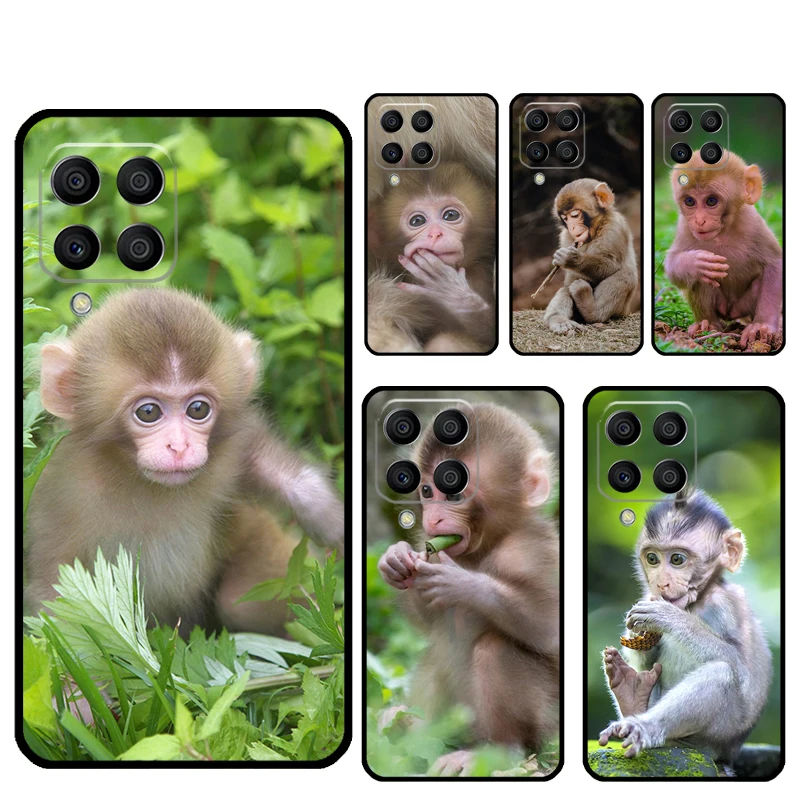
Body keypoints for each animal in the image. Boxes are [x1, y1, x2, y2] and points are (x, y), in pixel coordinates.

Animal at [25, 288, 344, 636]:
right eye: (148, 412)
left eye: (198, 409)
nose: (179, 446)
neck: (138, 477)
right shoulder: (61, 498)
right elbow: (58, 599)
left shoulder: (229, 453)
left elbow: (259, 456)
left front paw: (328, 516)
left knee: (238, 604)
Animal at [376, 404, 559, 775]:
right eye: (427, 492)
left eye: (455, 493)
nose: (432, 519)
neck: (489, 543)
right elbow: (429, 621)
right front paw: (397, 561)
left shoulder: (533, 550)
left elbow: (549, 627)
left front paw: (461, 582)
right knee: (437, 651)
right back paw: (409, 725)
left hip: (547, 724)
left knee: (493, 649)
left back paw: (498, 751)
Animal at [543, 179, 638, 334]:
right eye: (565, 218)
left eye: (575, 215)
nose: (572, 227)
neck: (595, 230)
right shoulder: (565, 237)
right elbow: (570, 279)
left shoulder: (614, 229)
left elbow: (611, 265)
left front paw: (571, 259)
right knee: (566, 289)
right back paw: (559, 320)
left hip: (622, 309)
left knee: (626, 274)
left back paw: (592, 312)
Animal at [598, 488, 771, 770]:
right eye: (652, 558)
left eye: (677, 559)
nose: (661, 583)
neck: (696, 603)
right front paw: (637, 634)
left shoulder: (727, 605)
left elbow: (742, 672)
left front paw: (668, 617)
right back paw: (632, 694)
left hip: (719, 733)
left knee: (721, 674)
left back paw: (644, 725)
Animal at [664, 150, 782, 349]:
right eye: (690, 201)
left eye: (711, 201)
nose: (699, 221)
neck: (722, 233)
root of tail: (731, 312)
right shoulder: (685, 227)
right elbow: (672, 267)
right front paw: (695, 264)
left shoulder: (753, 223)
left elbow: (775, 264)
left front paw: (762, 325)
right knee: (701, 279)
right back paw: (707, 324)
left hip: (743, 306)